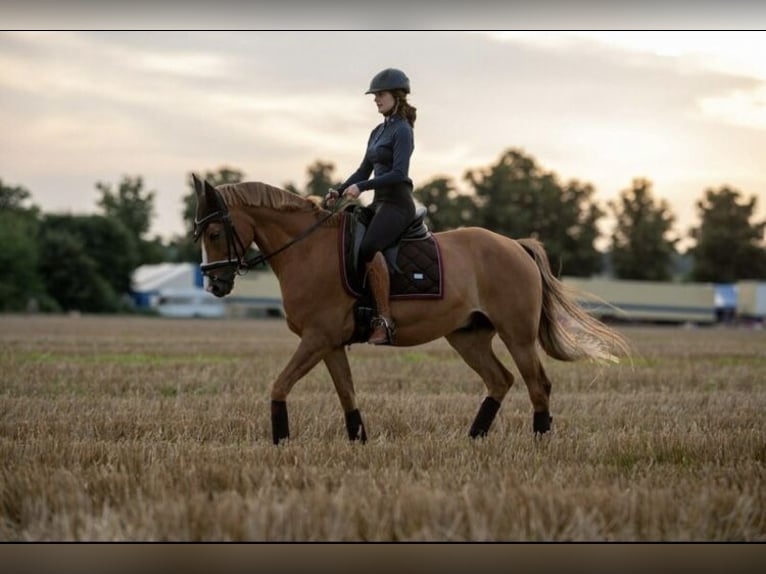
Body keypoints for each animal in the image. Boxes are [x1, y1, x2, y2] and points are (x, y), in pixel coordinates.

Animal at [192, 176, 632, 446]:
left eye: (213, 232)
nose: (214, 285)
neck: (306, 249)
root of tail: (515, 246)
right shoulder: (329, 344)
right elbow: (347, 394)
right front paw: (358, 441)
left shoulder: (317, 339)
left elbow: (279, 386)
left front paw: (280, 439)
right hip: (468, 336)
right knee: (500, 380)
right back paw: (474, 438)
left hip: (517, 335)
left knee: (537, 384)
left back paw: (540, 440)